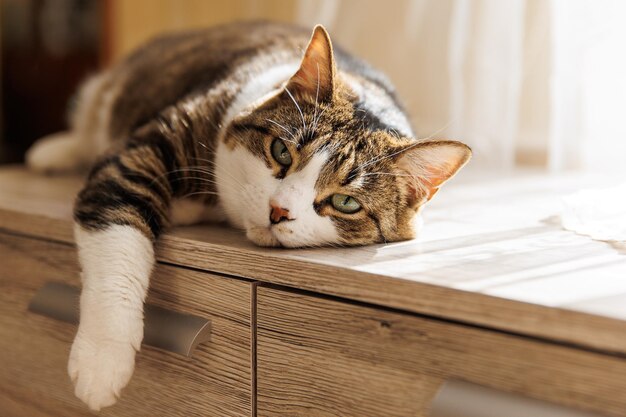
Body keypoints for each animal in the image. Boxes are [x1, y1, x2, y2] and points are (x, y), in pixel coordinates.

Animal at [26, 21, 470, 408]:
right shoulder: (141, 150)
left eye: (346, 203)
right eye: (281, 152)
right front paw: (102, 360)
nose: (279, 210)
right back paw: (52, 152)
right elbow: (118, 244)